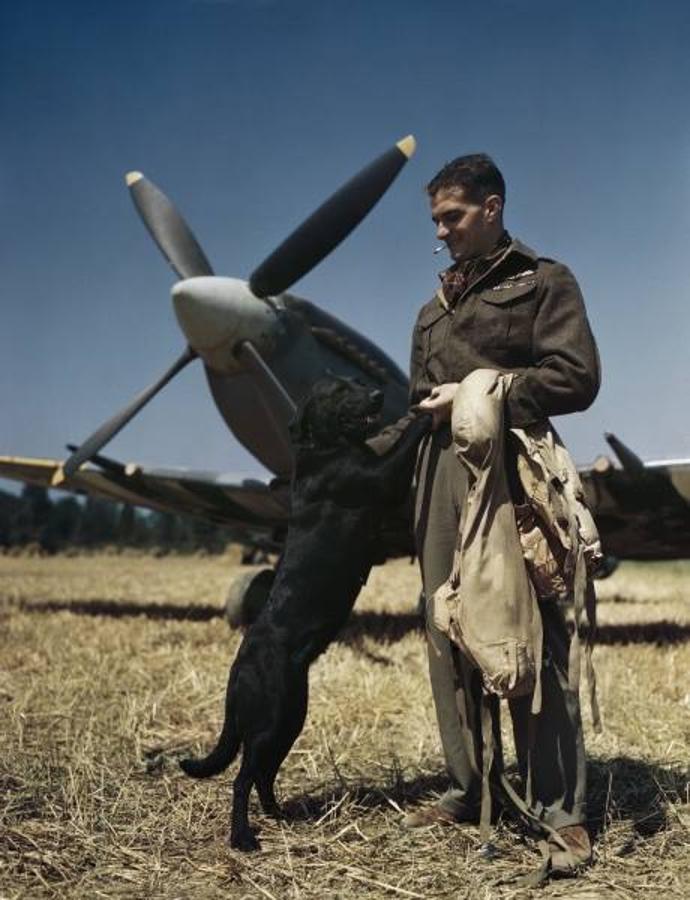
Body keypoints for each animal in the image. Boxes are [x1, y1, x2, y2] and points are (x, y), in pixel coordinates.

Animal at [181, 378, 430, 852]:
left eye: (356, 384)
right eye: (339, 389)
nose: (376, 396)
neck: (326, 446)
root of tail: (238, 672)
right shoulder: (378, 478)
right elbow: (408, 438)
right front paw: (426, 409)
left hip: (288, 721)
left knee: (263, 775)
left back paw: (280, 815)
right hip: (269, 724)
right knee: (242, 779)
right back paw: (243, 837)